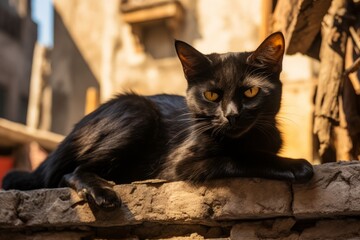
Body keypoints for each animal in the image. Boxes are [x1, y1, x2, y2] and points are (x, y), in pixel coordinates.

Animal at [2, 32, 312, 210]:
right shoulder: (181, 164)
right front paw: (296, 165)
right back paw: (103, 193)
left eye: (250, 92)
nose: (231, 114)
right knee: (69, 172)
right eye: (211, 95)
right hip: (137, 112)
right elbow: (240, 158)